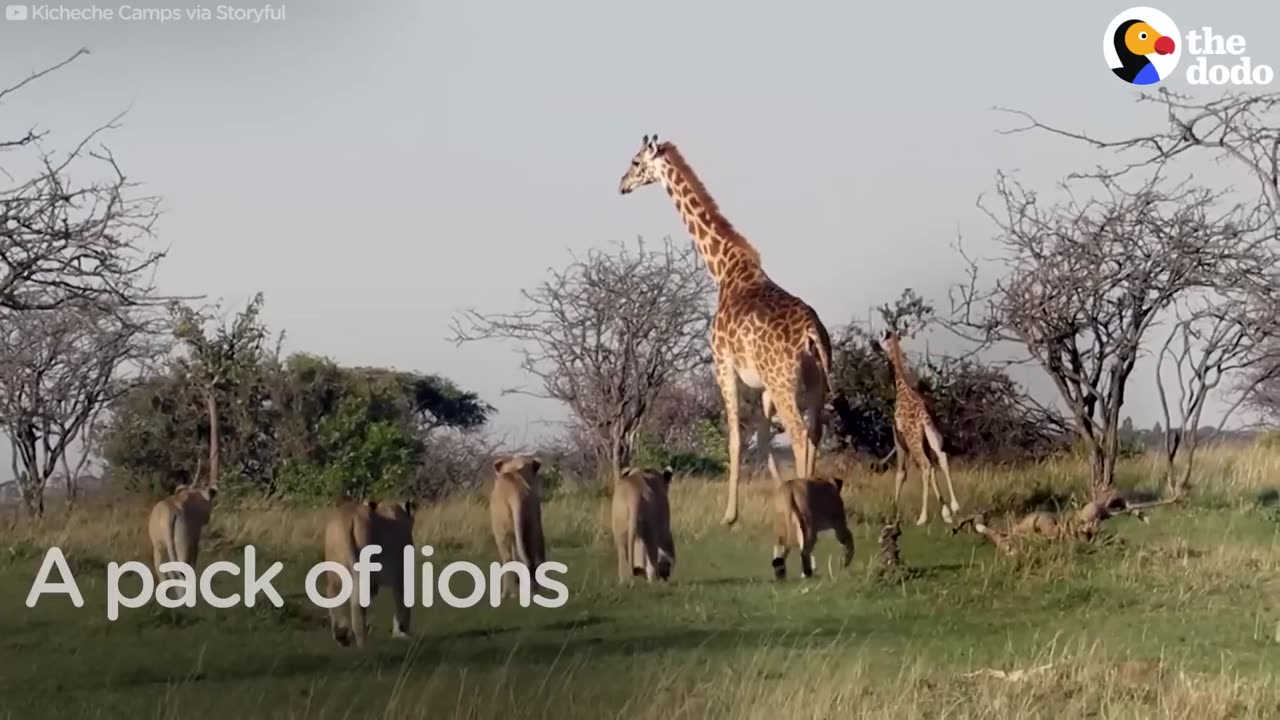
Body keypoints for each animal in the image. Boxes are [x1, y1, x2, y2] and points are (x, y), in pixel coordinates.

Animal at [322, 491, 417, 645]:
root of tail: (347, 517)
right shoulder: (401, 572)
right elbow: (402, 599)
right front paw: (401, 632)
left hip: (335, 567)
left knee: (334, 593)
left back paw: (342, 636)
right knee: (357, 600)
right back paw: (362, 641)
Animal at [616, 134, 834, 525]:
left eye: (636, 162)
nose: (622, 184)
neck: (724, 268)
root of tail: (812, 333)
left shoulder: (723, 364)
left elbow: (735, 437)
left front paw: (730, 515)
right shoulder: (760, 385)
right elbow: (761, 437)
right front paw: (779, 495)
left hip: (785, 383)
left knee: (798, 435)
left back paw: (805, 506)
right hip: (814, 386)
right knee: (814, 434)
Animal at [880, 327, 962, 525]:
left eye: (881, 338)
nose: (876, 344)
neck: (902, 387)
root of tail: (924, 417)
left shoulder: (899, 438)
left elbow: (901, 473)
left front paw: (893, 511)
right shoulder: (923, 440)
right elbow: (933, 470)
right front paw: (946, 511)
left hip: (914, 441)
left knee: (925, 466)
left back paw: (922, 518)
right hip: (931, 437)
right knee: (941, 458)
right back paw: (955, 506)